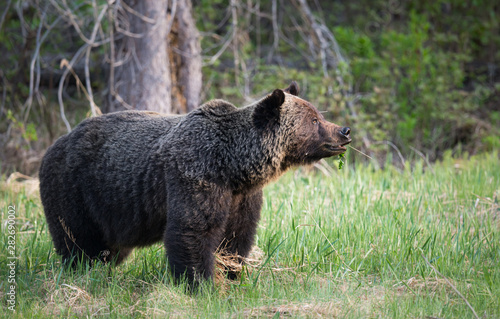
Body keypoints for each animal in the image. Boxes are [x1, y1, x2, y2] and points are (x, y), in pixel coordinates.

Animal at [39, 82, 352, 284]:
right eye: (314, 120)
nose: (344, 131)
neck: (233, 165)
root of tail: (54, 145)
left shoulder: (242, 196)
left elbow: (237, 236)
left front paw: (232, 274)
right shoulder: (196, 174)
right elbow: (193, 229)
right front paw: (201, 283)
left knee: (110, 248)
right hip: (76, 189)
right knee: (77, 240)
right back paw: (82, 272)